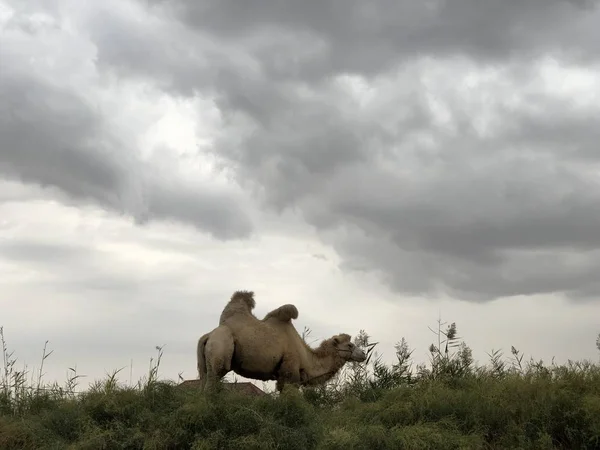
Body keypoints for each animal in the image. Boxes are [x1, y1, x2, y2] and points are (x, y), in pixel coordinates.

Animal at [197, 290, 366, 392]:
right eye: (350, 345)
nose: (363, 354)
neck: (306, 358)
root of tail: (208, 335)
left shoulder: (282, 378)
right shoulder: (290, 375)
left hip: (206, 364)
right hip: (220, 352)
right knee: (211, 385)